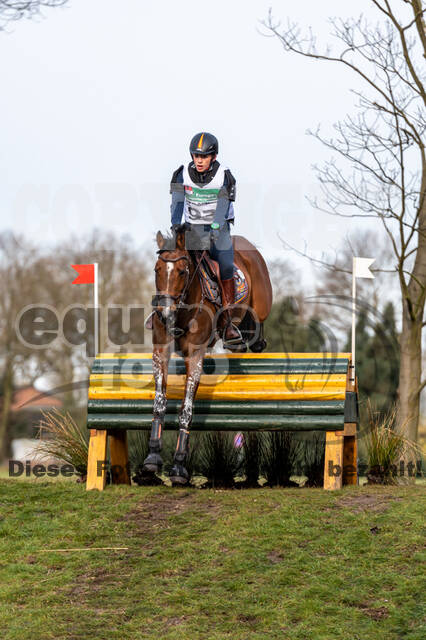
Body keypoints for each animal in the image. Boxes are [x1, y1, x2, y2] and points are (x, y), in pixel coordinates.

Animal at [141, 225, 272, 484]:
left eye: (182, 271)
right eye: (156, 270)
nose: (165, 312)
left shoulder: (195, 355)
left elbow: (186, 409)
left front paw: (179, 467)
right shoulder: (160, 351)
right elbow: (159, 402)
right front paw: (152, 457)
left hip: (262, 304)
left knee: (257, 323)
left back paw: (252, 337)